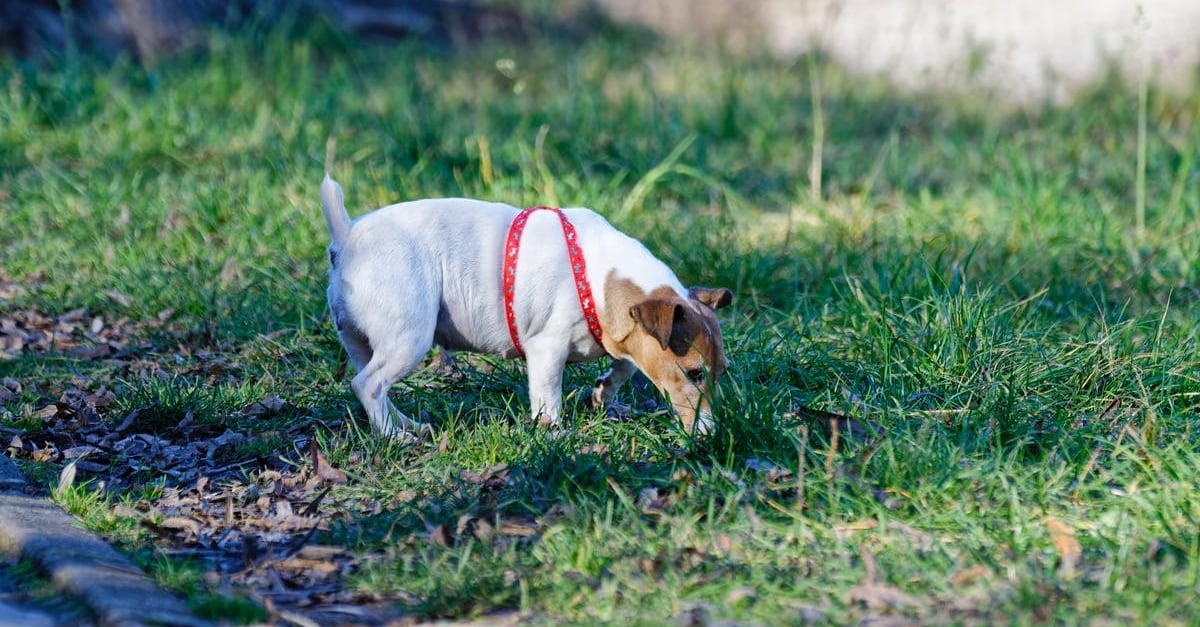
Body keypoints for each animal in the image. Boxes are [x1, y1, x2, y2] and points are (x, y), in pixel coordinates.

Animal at [319, 172, 729, 437]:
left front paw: (603, 391)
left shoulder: (624, 337)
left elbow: (624, 367)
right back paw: (394, 436)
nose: (712, 434)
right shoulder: (546, 350)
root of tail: (347, 235)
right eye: (693, 373)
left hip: (364, 343)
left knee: (373, 383)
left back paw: (404, 424)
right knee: (369, 385)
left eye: (721, 372)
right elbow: (548, 399)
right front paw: (555, 434)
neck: (597, 276)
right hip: (409, 338)